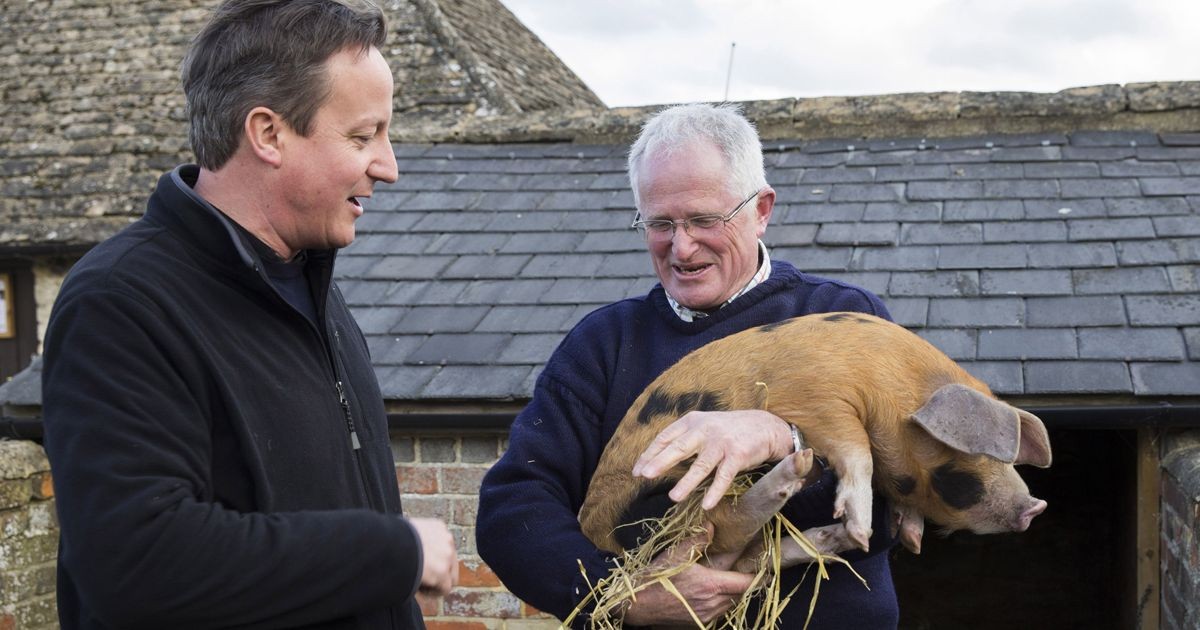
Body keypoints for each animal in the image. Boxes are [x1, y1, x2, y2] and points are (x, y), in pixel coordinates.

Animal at [578, 311, 1052, 568]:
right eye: (966, 467)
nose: (1037, 507)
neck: (895, 387)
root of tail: (591, 531)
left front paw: (909, 536)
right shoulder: (815, 397)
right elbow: (855, 449)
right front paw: (863, 528)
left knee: (748, 554)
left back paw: (831, 539)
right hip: (659, 501)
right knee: (722, 524)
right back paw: (799, 475)